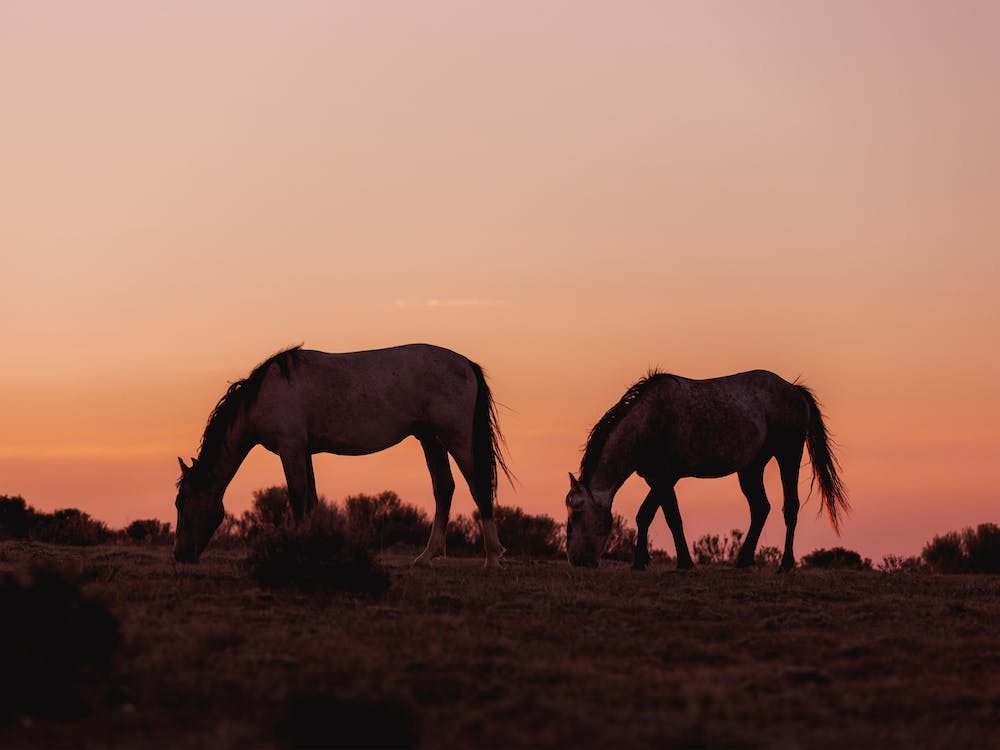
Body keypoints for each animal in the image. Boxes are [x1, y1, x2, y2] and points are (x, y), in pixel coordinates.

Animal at [174, 344, 512, 568]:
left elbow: (297, 500)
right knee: (444, 488)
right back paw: (426, 556)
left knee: (479, 487)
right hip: (430, 439)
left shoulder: (290, 448)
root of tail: (466, 363)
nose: (180, 556)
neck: (264, 395)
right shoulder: (304, 451)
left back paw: (492, 558)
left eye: (182, 503)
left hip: (456, 437)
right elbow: (310, 501)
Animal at [565, 369, 847, 571]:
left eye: (576, 513)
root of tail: (794, 389)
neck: (649, 422)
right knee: (760, 508)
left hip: (788, 455)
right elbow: (667, 517)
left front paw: (645, 562)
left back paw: (786, 564)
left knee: (790, 507)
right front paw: (677, 562)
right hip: (751, 468)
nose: (576, 560)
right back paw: (743, 560)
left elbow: (649, 515)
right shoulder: (657, 480)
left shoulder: (667, 477)